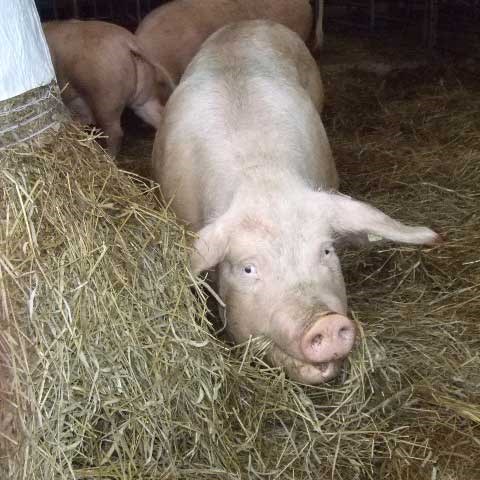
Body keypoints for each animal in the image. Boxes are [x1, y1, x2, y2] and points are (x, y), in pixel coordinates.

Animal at [42, 20, 174, 156]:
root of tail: (128, 41)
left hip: (106, 98)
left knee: (115, 133)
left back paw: (108, 156)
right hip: (144, 96)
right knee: (157, 116)